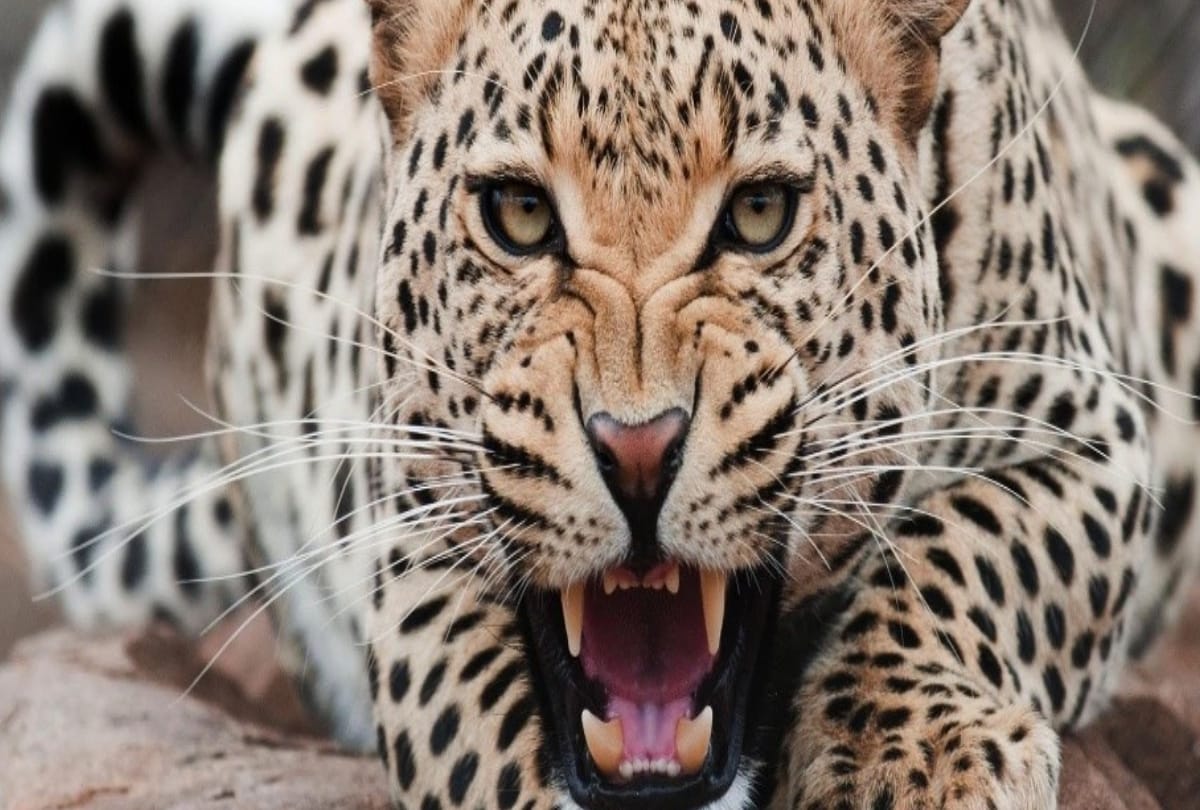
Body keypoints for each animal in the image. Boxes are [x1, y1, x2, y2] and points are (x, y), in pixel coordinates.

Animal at [2, 0, 1199, 807]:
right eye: (520, 215)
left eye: (760, 215)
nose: (636, 451)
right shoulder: (411, 532)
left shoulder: (1089, 431)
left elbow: (966, 549)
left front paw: (907, 761)